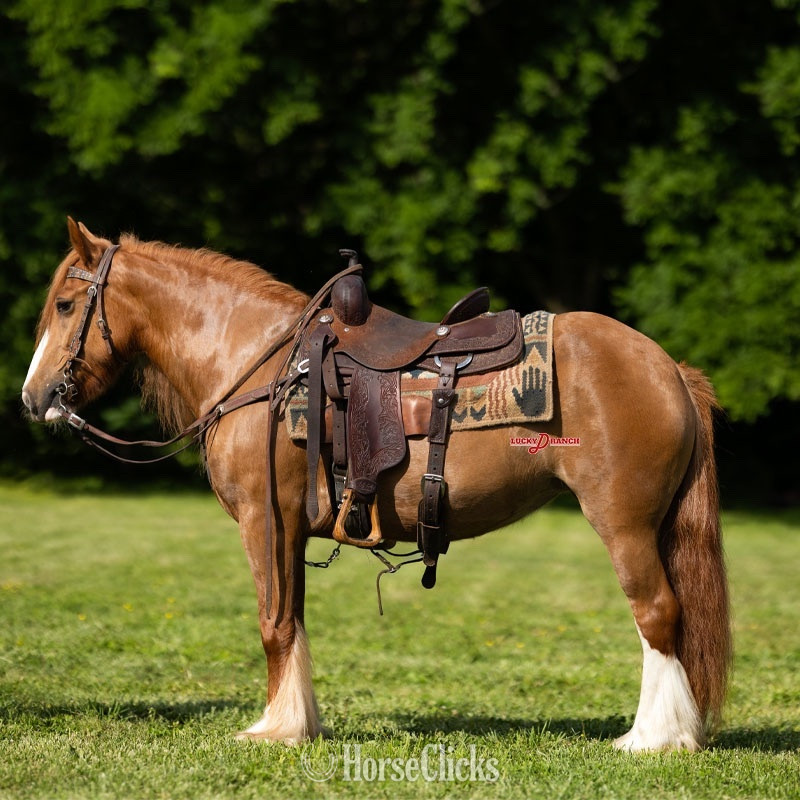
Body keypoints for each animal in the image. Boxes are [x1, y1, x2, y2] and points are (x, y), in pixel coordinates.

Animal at [21, 219, 731, 751]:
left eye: (65, 305)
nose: (33, 398)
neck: (263, 365)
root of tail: (668, 367)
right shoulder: (290, 528)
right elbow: (294, 620)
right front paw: (300, 723)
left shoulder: (264, 519)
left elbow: (272, 623)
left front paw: (274, 730)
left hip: (624, 524)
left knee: (657, 613)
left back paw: (654, 739)